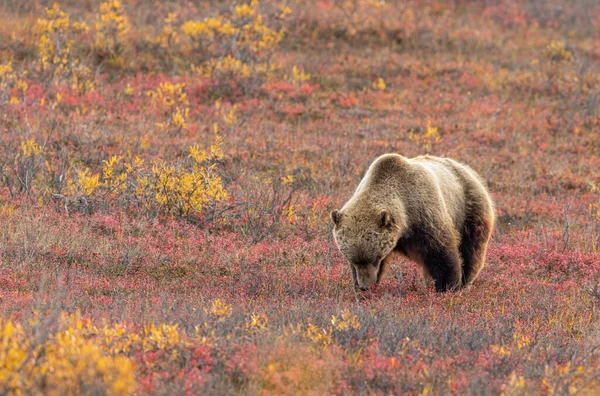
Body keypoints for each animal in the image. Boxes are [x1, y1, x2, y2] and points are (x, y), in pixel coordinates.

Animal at [330, 153, 494, 292]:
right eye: (353, 259)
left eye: (375, 258)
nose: (365, 286)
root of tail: (468, 170)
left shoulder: (425, 217)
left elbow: (442, 252)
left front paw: (448, 286)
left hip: (470, 210)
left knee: (471, 251)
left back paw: (465, 281)